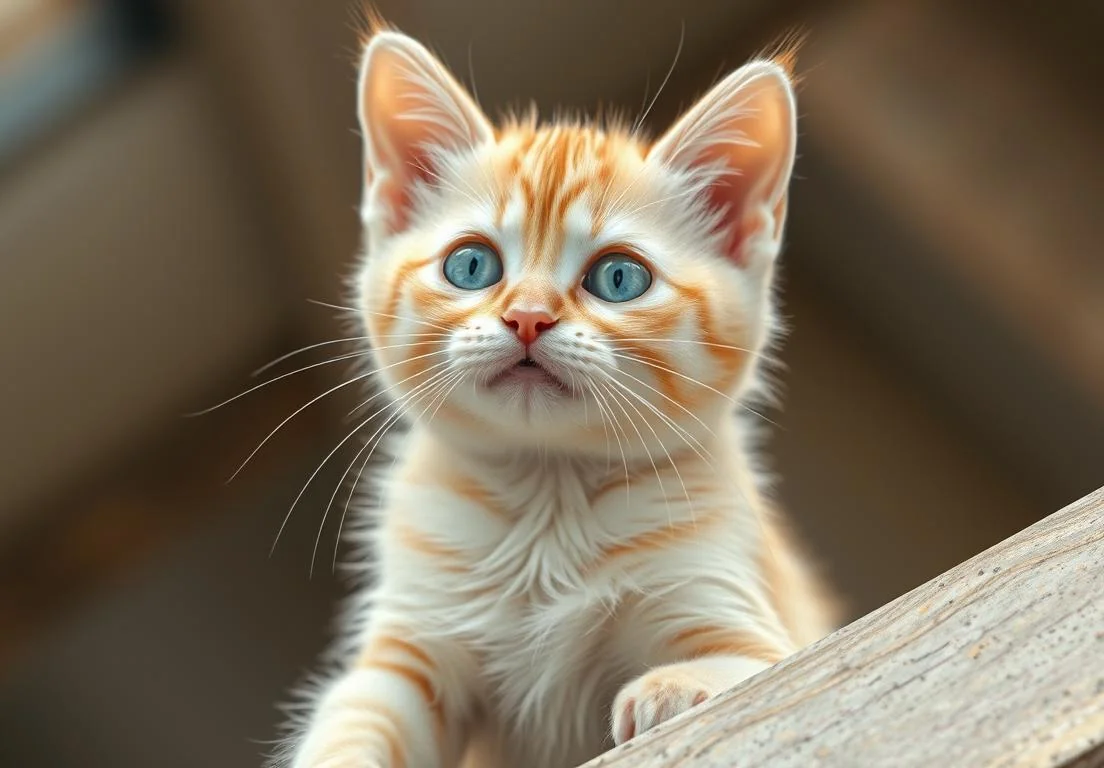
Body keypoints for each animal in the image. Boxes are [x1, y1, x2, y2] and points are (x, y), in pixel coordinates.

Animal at [282, 19, 834, 768]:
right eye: (471, 265)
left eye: (619, 278)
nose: (528, 317)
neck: (548, 500)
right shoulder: (412, 643)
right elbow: (354, 718)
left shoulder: (746, 618)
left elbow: (751, 670)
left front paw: (672, 691)